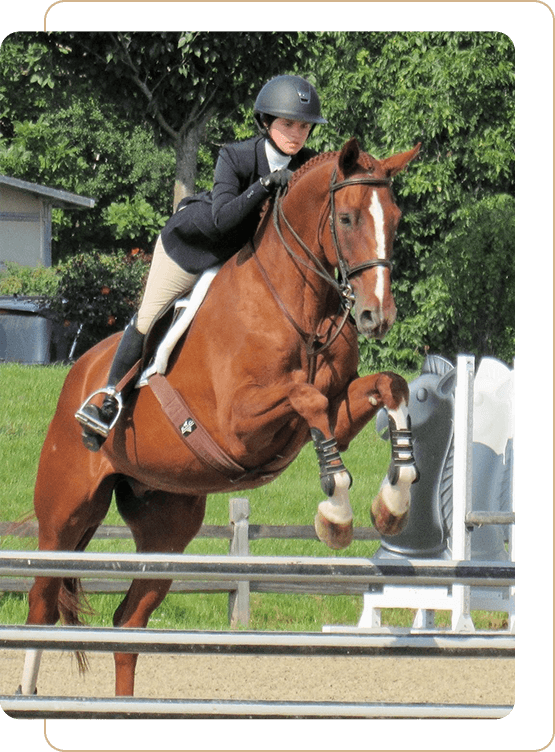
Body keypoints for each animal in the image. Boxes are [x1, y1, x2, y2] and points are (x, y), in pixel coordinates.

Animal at [21, 137, 422, 700]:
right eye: (346, 218)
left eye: (397, 219)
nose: (375, 316)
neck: (300, 306)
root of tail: (76, 377)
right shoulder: (239, 425)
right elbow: (307, 398)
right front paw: (337, 514)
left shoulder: (332, 414)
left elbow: (389, 387)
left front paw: (392, 502)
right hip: (65, 512)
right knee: (41, 603)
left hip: (167, 527)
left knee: (128, 621)